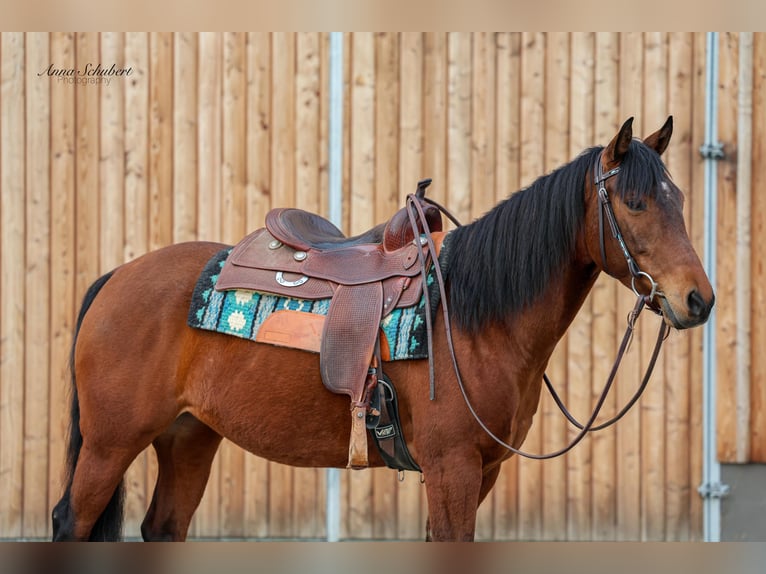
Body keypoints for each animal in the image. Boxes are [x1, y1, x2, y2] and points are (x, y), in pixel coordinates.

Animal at [51, 117, 714, 542]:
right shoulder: (451, 469)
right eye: (634, 204)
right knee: (70, 523)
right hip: (110, 445)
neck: (473, 317)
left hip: (188, 437)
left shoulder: (480, 472)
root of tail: (116, 277)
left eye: (679, 199)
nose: (698, 300)